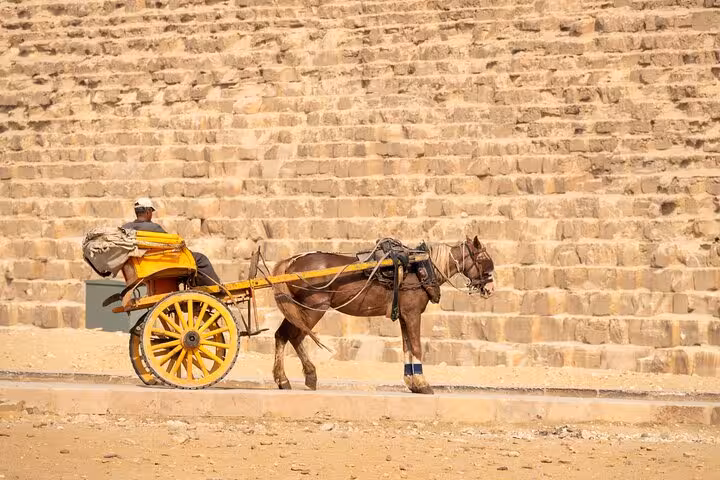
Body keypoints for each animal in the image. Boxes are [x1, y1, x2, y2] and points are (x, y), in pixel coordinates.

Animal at [268, 235, 495, 394]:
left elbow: (407, 347)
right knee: (294, 336)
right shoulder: (413, 313)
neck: (421, 267)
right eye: (484, 260)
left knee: (282, 335)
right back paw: (304, 376)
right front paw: (423, 384)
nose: (491, 289)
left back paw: (286, 379)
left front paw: (412, 382)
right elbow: (416, 347)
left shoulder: (404, 315)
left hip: (298, 308)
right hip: (313, 307)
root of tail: (291, 261)